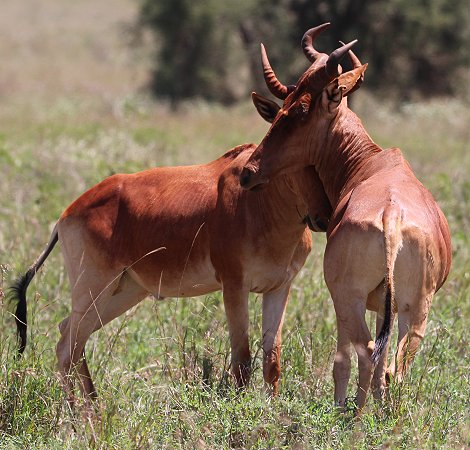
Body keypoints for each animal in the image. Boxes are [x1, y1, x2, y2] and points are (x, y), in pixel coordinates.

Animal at [9, 143, 332, 404]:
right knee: (67, 346)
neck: (259, 201)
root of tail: (66, 214)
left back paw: (94, 409)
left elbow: (272, 360)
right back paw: (79, 421)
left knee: (70, 334)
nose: (323, 217)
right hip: (96, 286)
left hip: (122, 292)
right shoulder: (234, 285)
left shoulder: (278, 288)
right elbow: (242, 360)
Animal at [242, 23, 452, 412]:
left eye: (299, 111)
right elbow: (383, 362)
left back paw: (351, 415)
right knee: (395, 364)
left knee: (364, 351)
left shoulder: (341, 294)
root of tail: (391, 218)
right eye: (280, 109)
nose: (249, 173)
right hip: (416, 306)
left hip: (347, 296)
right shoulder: (387, 304)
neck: (371, 163)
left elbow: (343, 358)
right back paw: (384, 415)